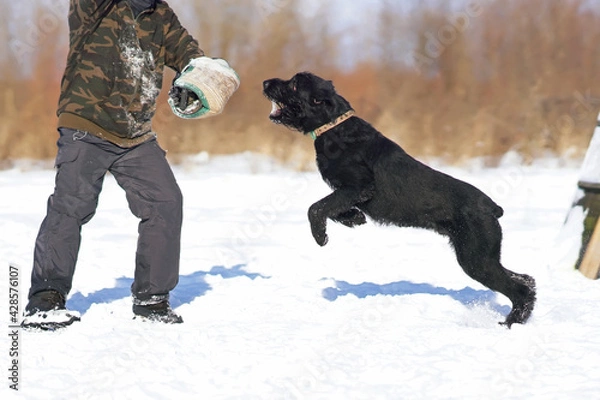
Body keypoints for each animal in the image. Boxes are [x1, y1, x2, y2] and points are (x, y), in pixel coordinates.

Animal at [264, 72, 536, 328]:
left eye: (295, 84)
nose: (266, 83)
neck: (333, 128)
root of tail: (492, 208)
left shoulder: (358, 186)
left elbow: (316, 207)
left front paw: (321, 236)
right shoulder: (346, 192)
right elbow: (333, 207)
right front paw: (354, 218)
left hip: (476, 259)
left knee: (519, 289)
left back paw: (510, 323)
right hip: (484, 257)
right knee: (526, 280)